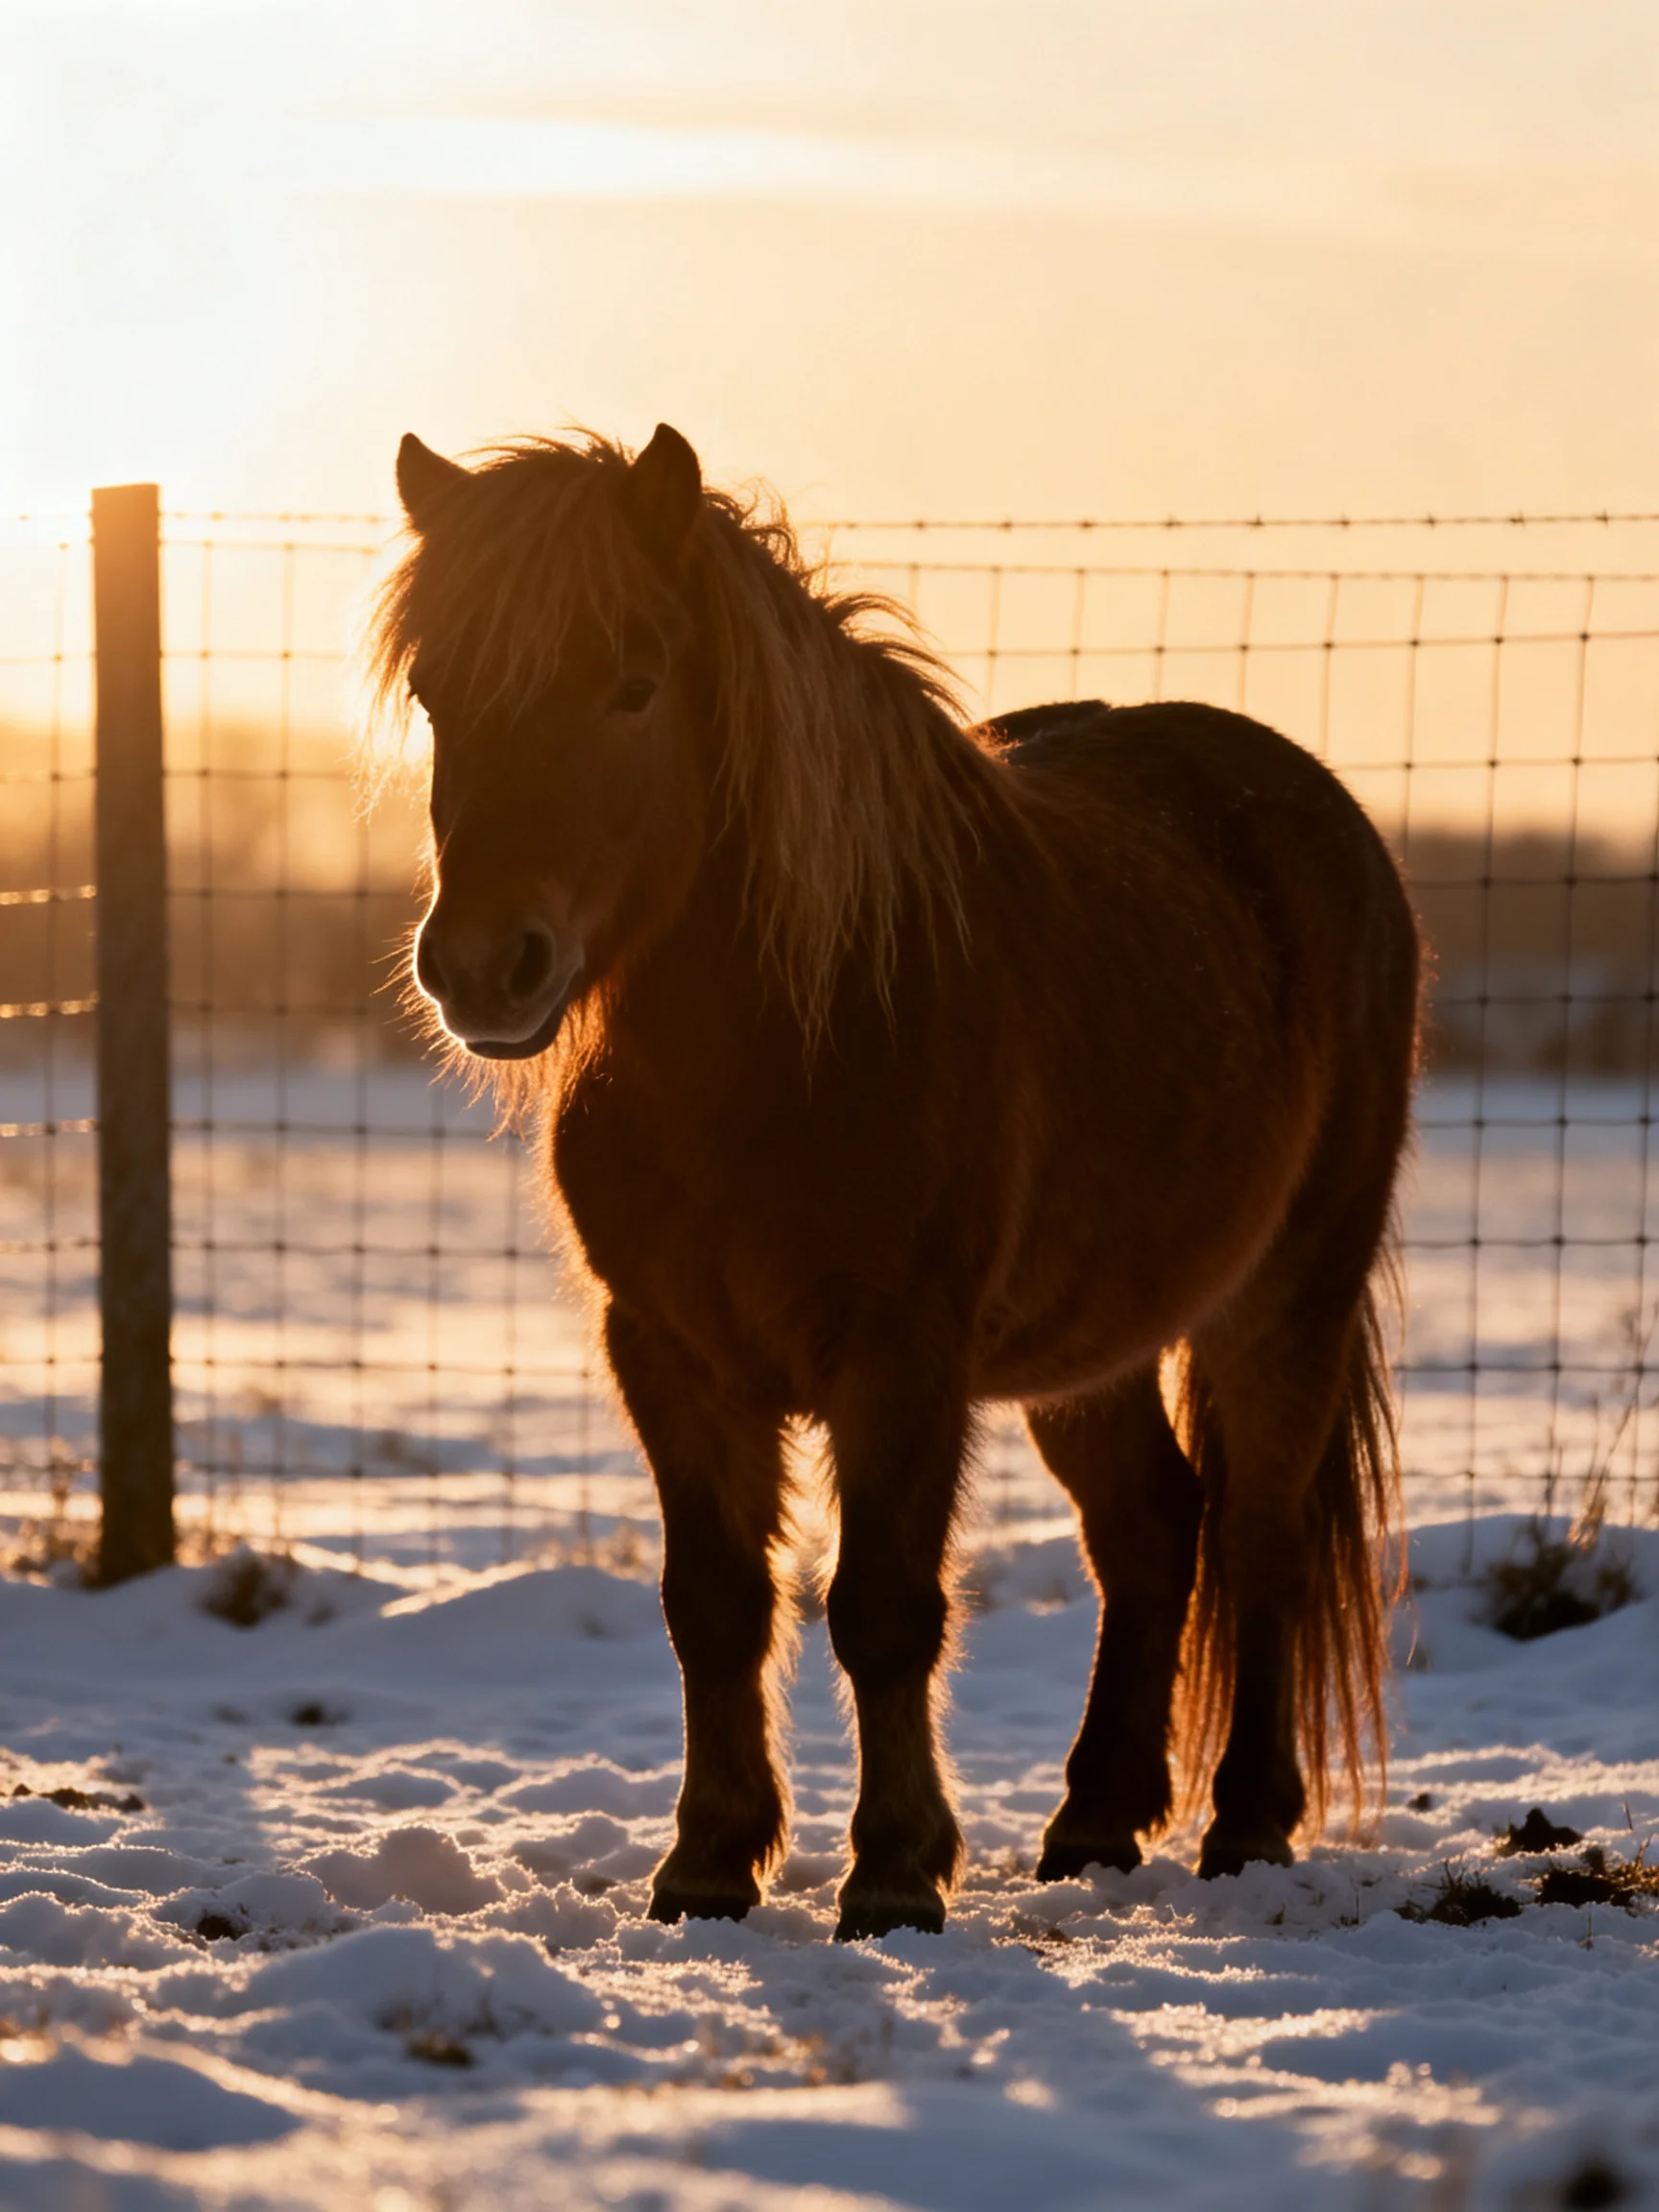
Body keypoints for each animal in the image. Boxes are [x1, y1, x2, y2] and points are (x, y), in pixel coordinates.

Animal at [370, 423, 1420, 1942]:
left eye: (631, 684)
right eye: (437, 694)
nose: (480, 968)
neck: (784, 1049)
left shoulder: (903, 1357)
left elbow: (882, 1607)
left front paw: (895, 1873)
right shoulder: (670, 1351)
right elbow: (713, 1602)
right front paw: (706, 1864)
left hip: (1286, 1300)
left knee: (1263, 1536)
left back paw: (1248, 1828)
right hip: (1092, 1344)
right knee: (1151, 1527)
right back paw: (1092, 1823)